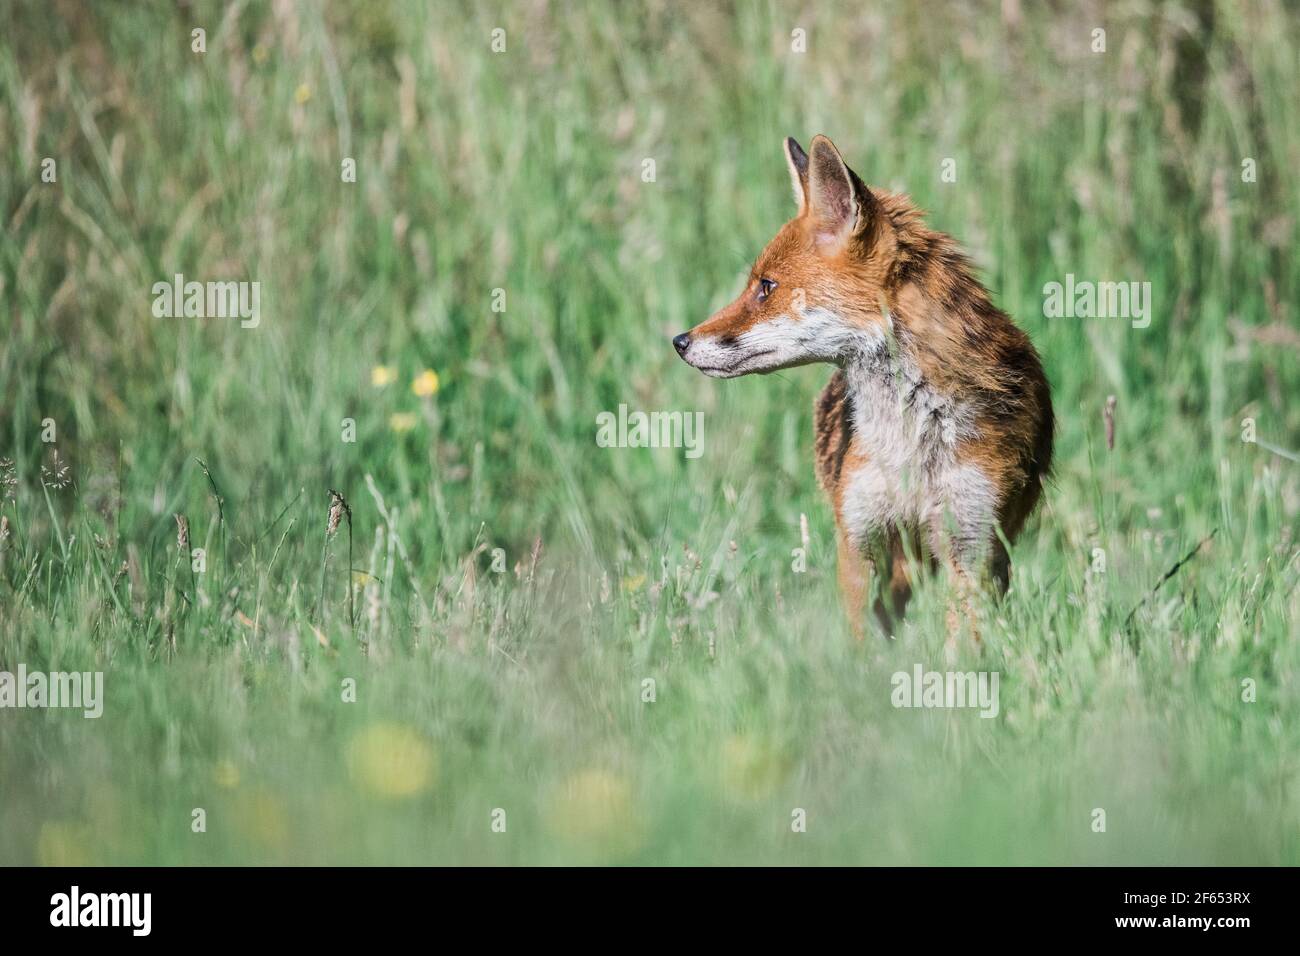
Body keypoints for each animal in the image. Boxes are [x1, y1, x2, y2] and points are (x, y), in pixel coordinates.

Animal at [673, 135, 1053, 642]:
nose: (680, 341)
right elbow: (861, 641)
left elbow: (964, 645)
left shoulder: (971, 546)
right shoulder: (860, 537)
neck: (912, 440)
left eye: (766, 287)